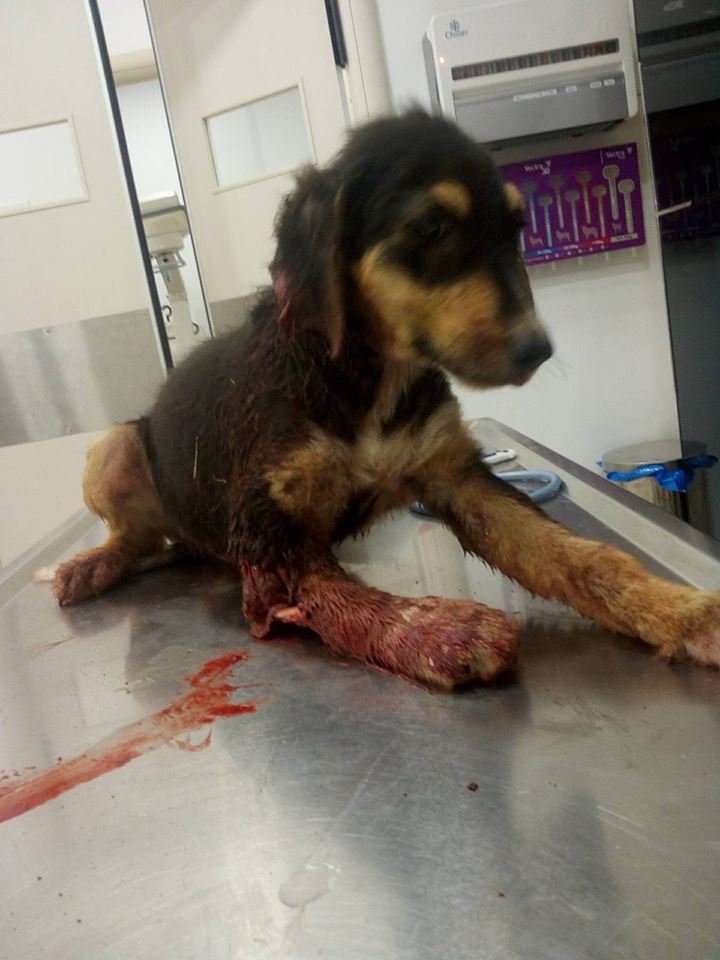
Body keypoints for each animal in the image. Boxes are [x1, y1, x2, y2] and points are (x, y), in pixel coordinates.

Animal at [53, 111, 720, 688]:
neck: (369, 376)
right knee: (134, 534)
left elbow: (582, 557)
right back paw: (91, 565)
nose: (538, 349)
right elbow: (342, 598)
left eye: (517, 229)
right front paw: (440, 630)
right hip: (116, 444)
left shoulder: (458, 476)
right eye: (431, 228)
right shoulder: (269, 525)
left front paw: (683, 612)